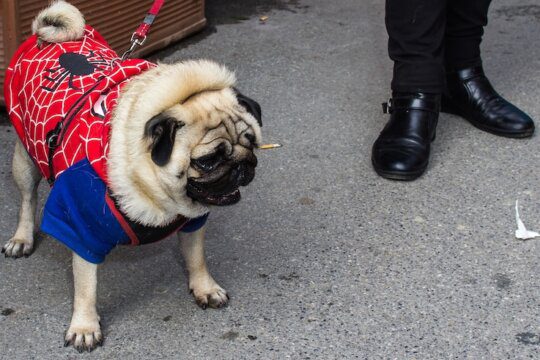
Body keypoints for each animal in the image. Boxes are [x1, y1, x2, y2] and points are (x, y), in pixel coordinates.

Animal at [2, 0, 262, 352]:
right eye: (208, 161)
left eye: (252, 143)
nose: (242, 165)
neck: (158, 196)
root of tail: (46, 38)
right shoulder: (81, 227)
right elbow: (86, 287)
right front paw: (84, 326)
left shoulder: (193, 220)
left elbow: (196, 257)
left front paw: (204, 288)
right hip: (25, 159)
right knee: (27, 200)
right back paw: (22, 238)